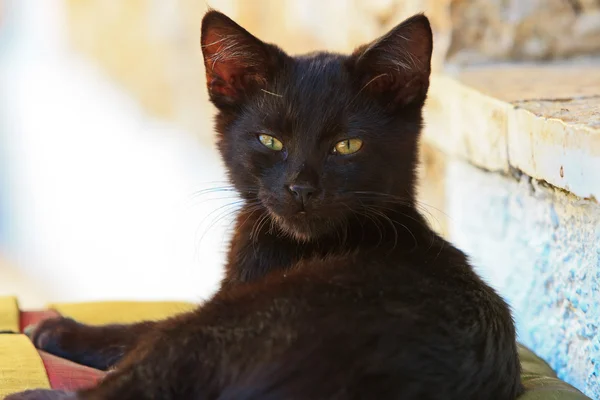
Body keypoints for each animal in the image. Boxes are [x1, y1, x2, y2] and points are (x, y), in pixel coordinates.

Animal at [5, 9, 520, 400]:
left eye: (347, 146)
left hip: (230, 321)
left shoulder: (220, 301)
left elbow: (143, 326)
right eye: (270, 140)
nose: (301, 189)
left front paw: (60, 330)